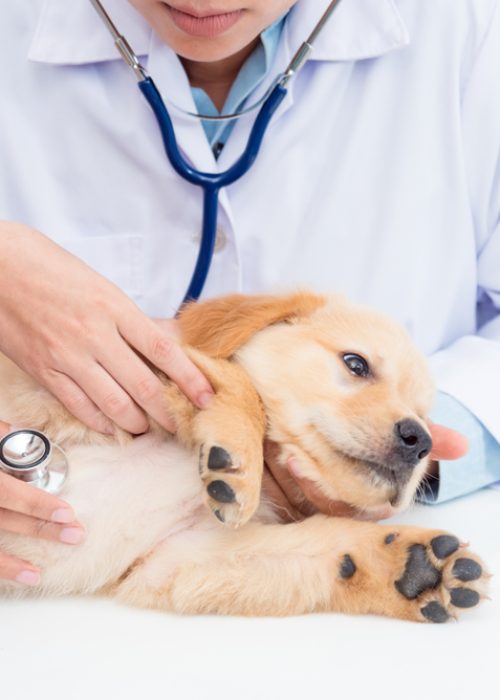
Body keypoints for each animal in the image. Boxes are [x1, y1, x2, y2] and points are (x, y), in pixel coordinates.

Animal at [0, 292, 488, 620]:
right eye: (356, 364)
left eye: (425, 414)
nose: (420, 440)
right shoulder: (102, 379)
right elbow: (236, 380)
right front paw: (239, 457)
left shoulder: (177, 557)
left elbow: (320, 548)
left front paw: (413, 566)